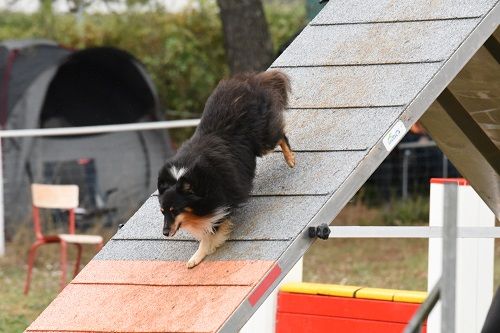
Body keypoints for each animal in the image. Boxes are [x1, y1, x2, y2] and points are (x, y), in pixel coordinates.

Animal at [157, 70, 292, 268]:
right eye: (163, 211)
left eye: (175, 210)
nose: (165, 233)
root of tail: (249, 80)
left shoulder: (220, 202)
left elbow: (210, 232)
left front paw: (196, 257)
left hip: (262, 140)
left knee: (280, 135)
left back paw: (291, 159)